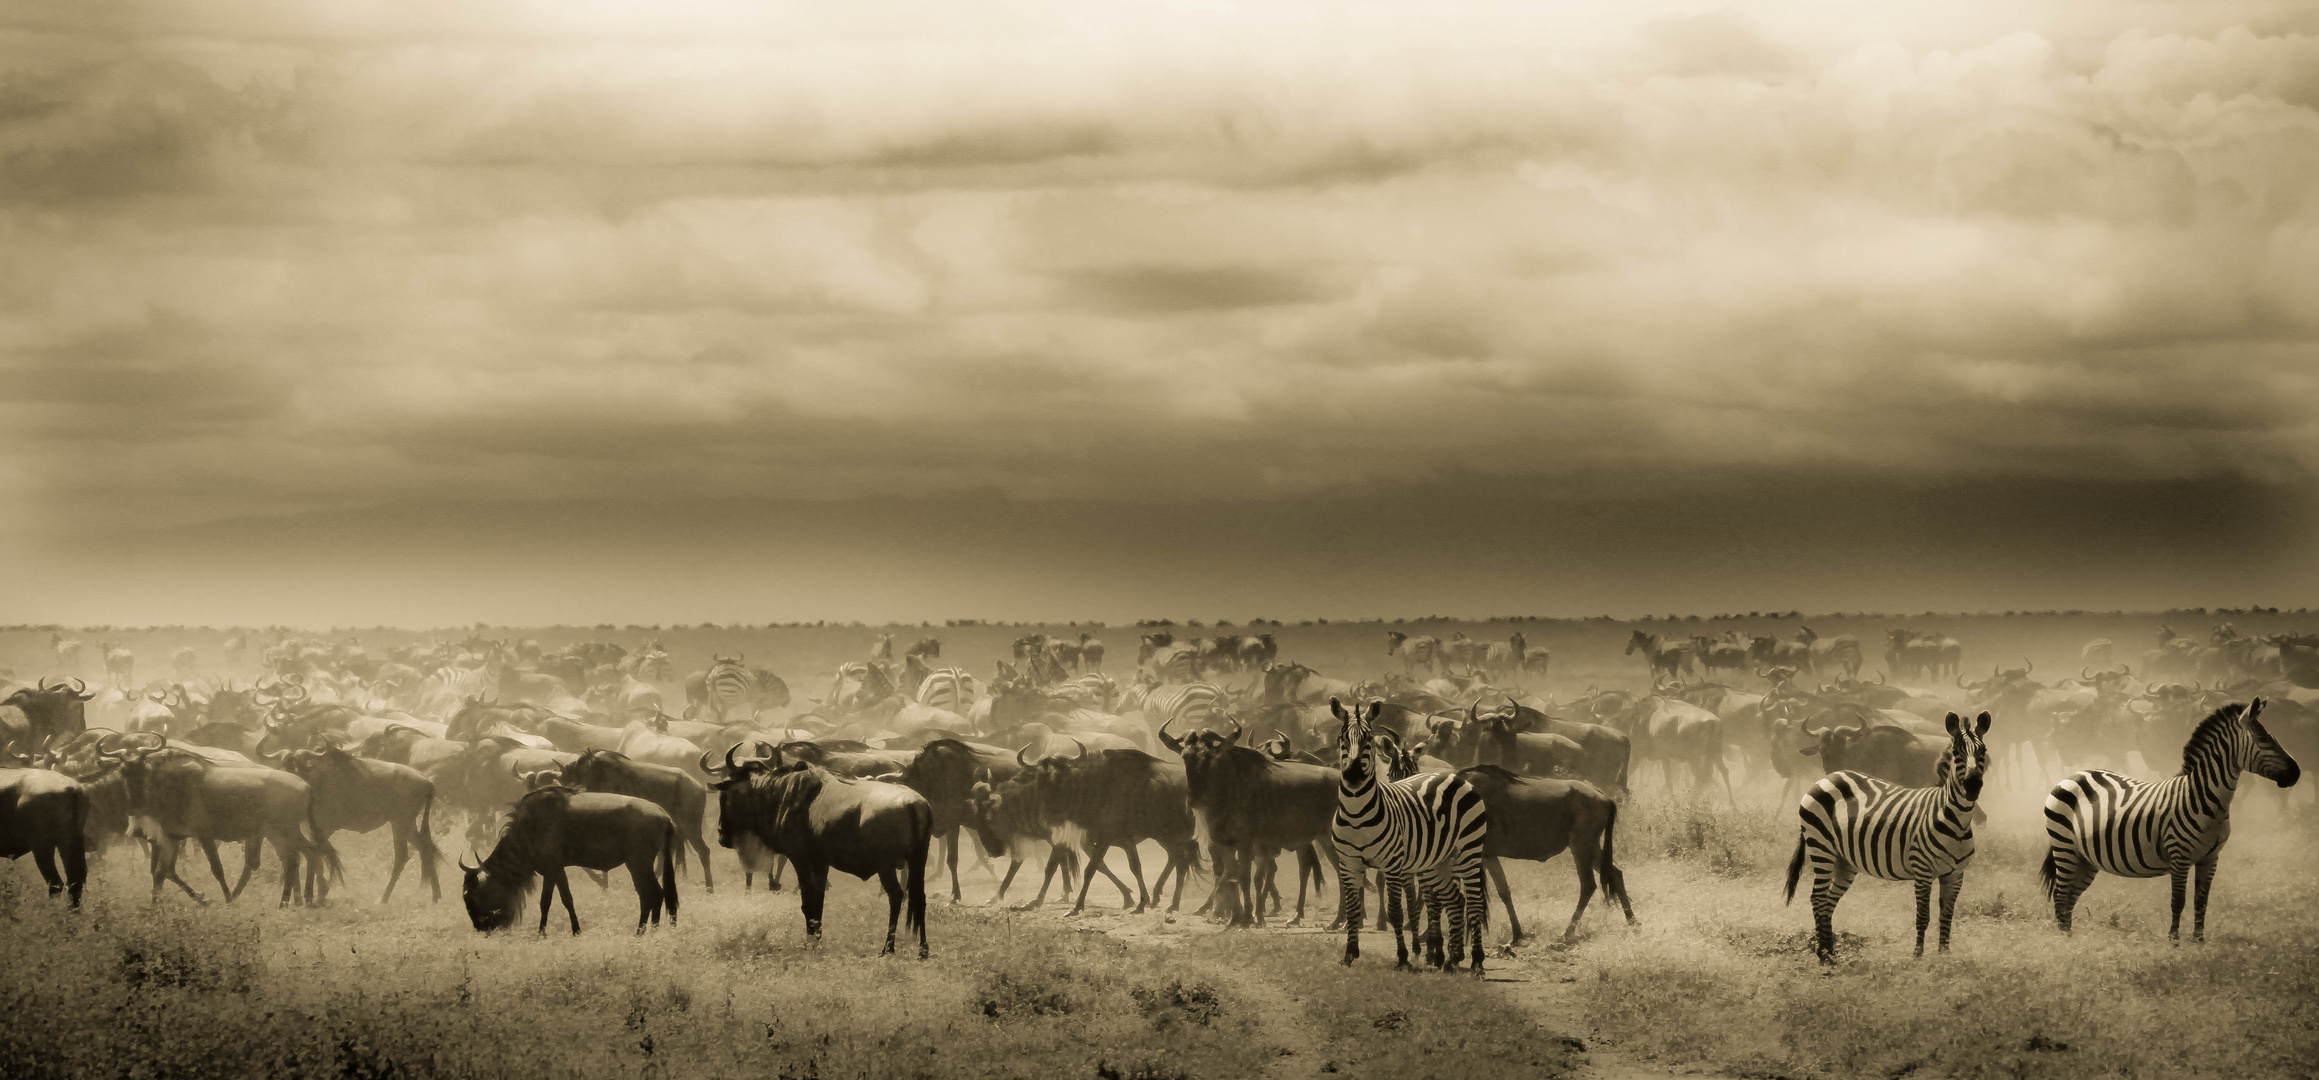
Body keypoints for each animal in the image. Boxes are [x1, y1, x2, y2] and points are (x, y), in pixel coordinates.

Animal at [1335, 695, 1493, 973]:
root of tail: (1455, 776)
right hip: (1440, 861)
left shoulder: (1396, 864)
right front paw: (1350, 954)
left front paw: (1410, 954)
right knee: (1455, 898)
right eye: (1342, 738)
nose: (1353, 776)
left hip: (1468, 852)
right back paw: (1451, 958)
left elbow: (1403, 907)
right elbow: (1362, 907)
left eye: (1368, 738)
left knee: (1473, 901)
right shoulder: (1351, 863)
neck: (1357, 814)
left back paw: (1474, 961)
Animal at [1771, 709, 1994, 964]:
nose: (1973, 785)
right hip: (1821, 848)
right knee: (1817, 898)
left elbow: (1947, 915)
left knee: (1827, 902)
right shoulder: (1923, 870)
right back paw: (1824, 955)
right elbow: (1923, 915)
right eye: (1957, 753)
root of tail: (1827, 779)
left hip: (1844, 860)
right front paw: (1918, 956)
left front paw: (1945, 956)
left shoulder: (1955, 875)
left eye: (1983, 751)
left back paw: (1831, 952)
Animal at [2049, 695, 2300, 940]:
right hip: (2064, 847)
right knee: (2061, 894)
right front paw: (2174, 941)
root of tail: (2076, 774)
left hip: (2085, 858)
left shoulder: (2211, 858)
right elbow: (2178, 900)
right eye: (2263, 739)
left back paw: (2070, 936)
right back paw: (2063, 941)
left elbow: (2201, 901)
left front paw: (2198, 942)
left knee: (2071, 896)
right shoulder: (2180, 856)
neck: (2202, 797)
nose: (2296, 773)